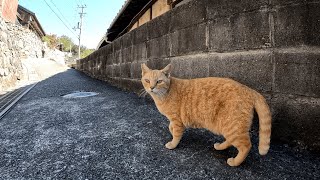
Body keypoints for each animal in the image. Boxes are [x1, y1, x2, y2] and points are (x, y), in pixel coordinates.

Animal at [141, 63, 272, 166]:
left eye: (159, 81)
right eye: (147, 81)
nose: (151, 87)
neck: (164, 94)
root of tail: (249, 89)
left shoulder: (177, 119)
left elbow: (177, 134)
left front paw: (173, 143)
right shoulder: (174, 120)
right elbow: (170, 127)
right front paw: (171, 131)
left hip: (232, 127)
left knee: (246, 146)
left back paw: (235, 162)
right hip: (227, 127)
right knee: (230, 140)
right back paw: (220, 147)